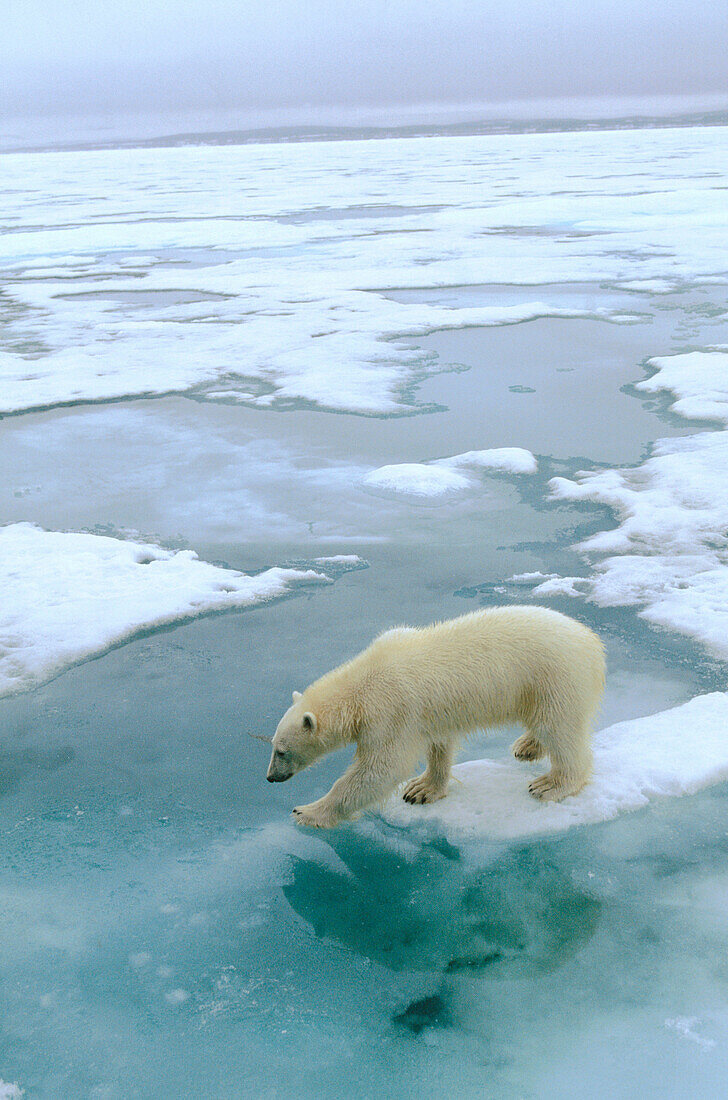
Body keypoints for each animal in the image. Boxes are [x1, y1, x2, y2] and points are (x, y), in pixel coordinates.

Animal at [267, 607, 602, 827]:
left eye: (281, 750)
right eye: (272, 744)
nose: (271, 777)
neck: (364, 679)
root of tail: (593, 642)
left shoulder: (388, 713)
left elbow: (382, 769)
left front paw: (307, 811)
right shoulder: (426, 711)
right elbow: (439, 744)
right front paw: (422, 789)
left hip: (554, 678)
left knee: (560, 729)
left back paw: (551, 784)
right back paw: (528, 746)